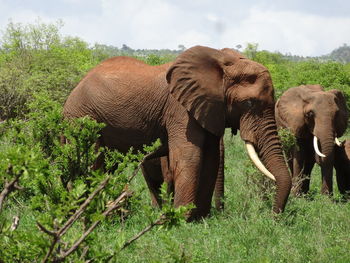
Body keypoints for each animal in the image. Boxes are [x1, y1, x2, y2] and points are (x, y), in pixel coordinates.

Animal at [63, 45, 292, 221]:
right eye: (249, 103)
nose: (273, 218)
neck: (222, 61)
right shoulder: (179, 110)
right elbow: (189, 157)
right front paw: (180, 219)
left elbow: (210, 160)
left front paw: (199, 219)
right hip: (81, 118)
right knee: (92, 164)